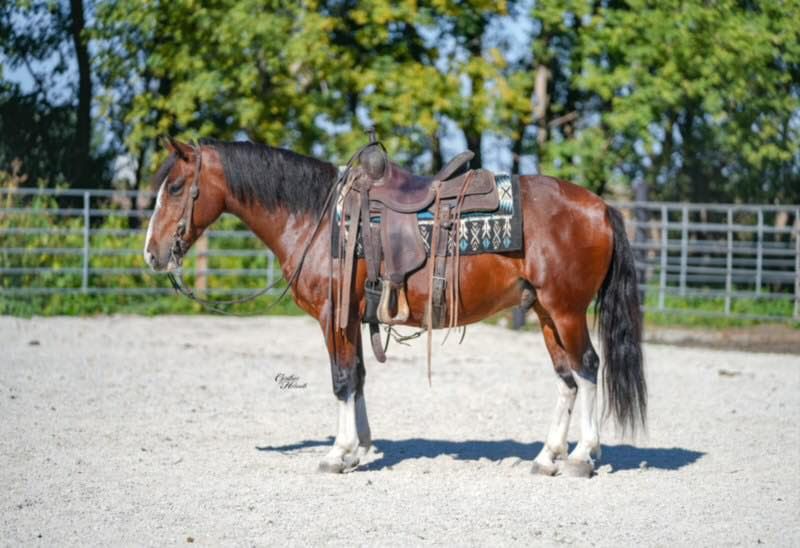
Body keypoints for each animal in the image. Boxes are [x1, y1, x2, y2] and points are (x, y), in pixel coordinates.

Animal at [143, 138, 646, 478]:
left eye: (176, 187)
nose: (152, 253)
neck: (318, 220)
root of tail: (601, 207)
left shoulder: (332, 317)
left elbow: (342, 380)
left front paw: (338, 453)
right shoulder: (350, 317)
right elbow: (358, 377)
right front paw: (359, 447)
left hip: (566, 311)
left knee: (587, 368)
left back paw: (581, 456)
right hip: (545, 312)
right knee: (566, 378)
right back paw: (547, 457)